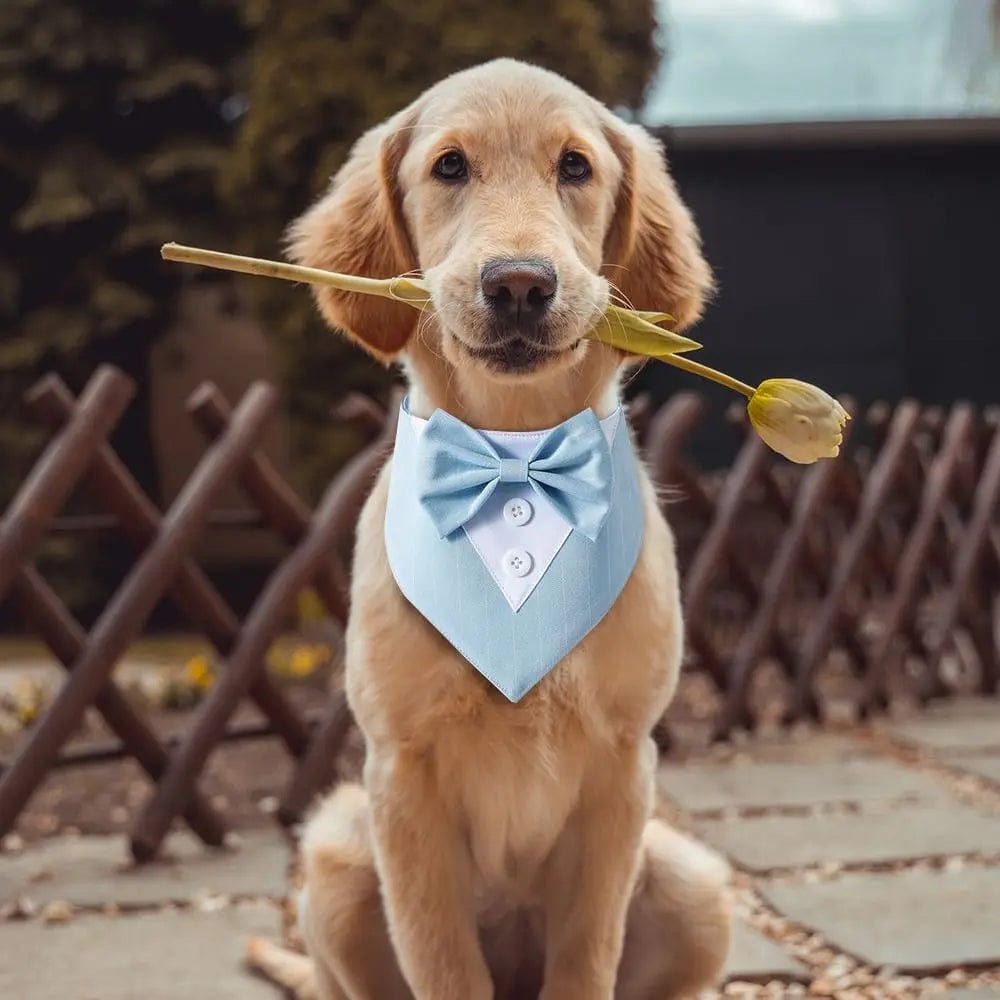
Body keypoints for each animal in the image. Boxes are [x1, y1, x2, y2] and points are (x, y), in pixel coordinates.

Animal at [246, 60, 732, 1000]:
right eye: (449, 167)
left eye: (575, 166)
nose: (518, 284)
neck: (515, 455)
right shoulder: (401, 775)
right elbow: (442, 962)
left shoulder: (623, 765)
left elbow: (586, 957)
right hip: (336, 855)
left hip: (695, 885)